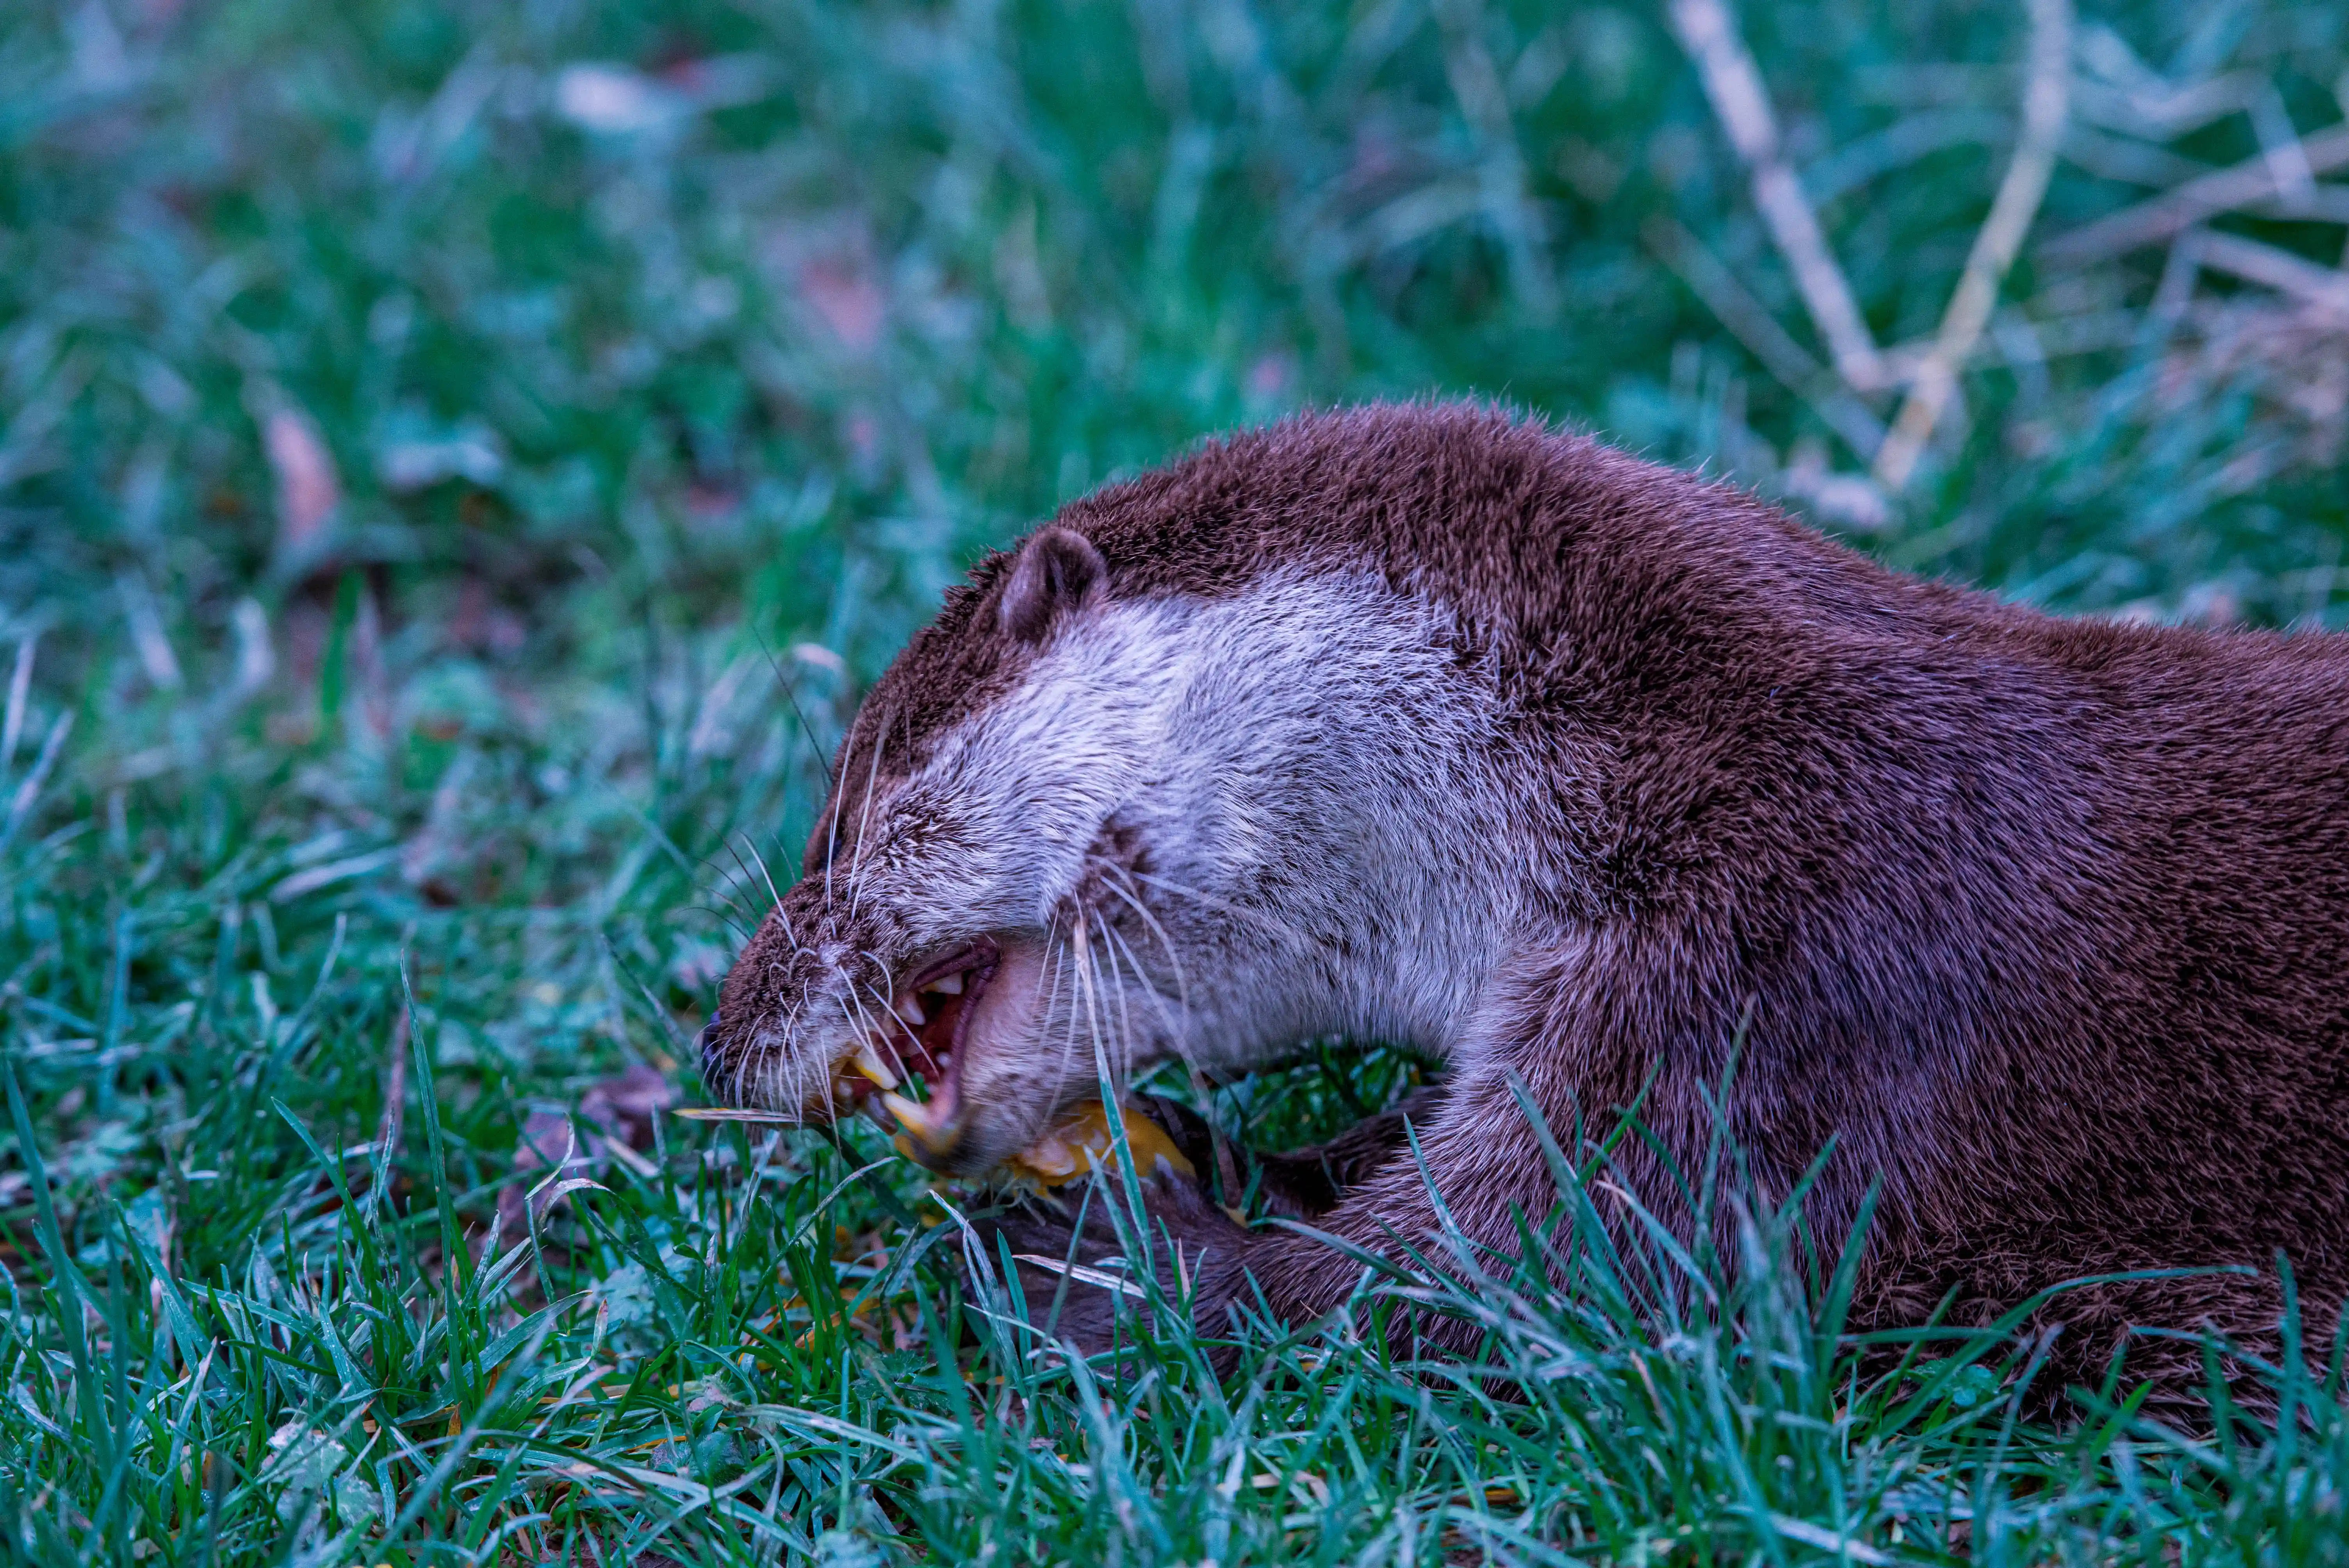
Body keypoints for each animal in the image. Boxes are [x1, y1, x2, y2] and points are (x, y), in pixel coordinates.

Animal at [706, 402, 2349, 1398]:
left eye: (840, 819)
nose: (717, 1042)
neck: (1686, 746)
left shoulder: (1778, 985)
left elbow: (1519, 1282)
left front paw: (1112, 1263)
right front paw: (1255, 1162)